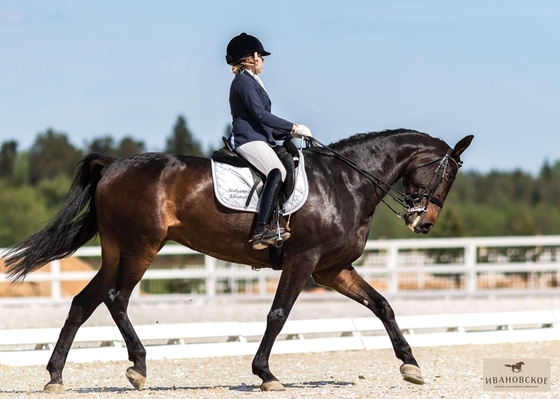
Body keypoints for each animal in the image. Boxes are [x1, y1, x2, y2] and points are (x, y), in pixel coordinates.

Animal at [3, 129, 472, 394]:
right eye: (448, 174)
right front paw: (265, 374)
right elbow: (278, 315)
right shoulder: (304, 261)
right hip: (141, 247)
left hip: (116, 250)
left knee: (83, 302)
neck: (347, 182)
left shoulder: (332, 269)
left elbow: (383, 306)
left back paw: (55, 377)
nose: (424, 222)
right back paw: (138, 367)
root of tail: (114, 164)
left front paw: (411, 366)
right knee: (116, 298)